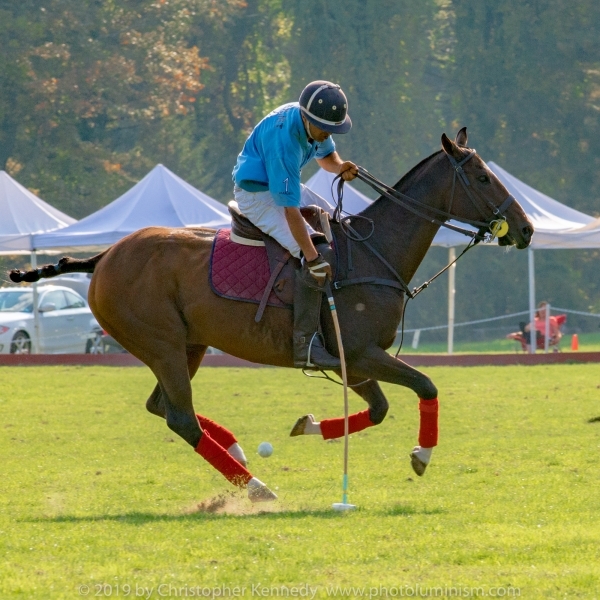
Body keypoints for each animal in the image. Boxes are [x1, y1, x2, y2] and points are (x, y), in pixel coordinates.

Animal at [10, 130, 536, 502]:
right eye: (483, 177)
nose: (527, 229)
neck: (374, 252)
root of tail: (102, 258)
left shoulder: (354, 360)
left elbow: (380, 408)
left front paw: (309, 425)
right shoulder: (361, 352)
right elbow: (426, 385)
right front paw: (422, 454)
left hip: (188, 345)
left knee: (162, 406)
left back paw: (237, 450)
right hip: (161, 344)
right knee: (180, 417)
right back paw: (257, 487)